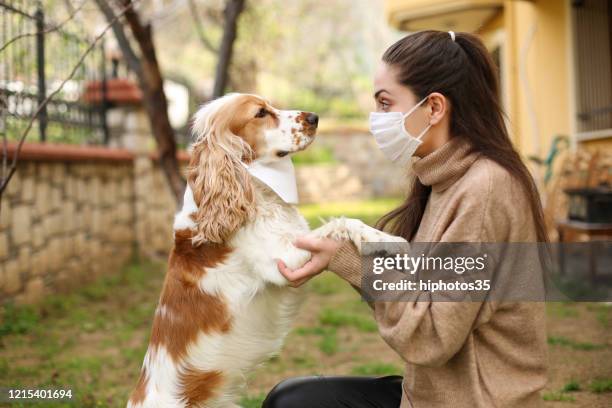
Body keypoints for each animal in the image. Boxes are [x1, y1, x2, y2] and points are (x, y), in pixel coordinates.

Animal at [128, 94, 406, 408]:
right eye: (261, 113)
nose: (314, 117)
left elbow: (349, 222)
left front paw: (387, 238)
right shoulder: (284, 259)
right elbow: (341, 224)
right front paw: (390, 241)